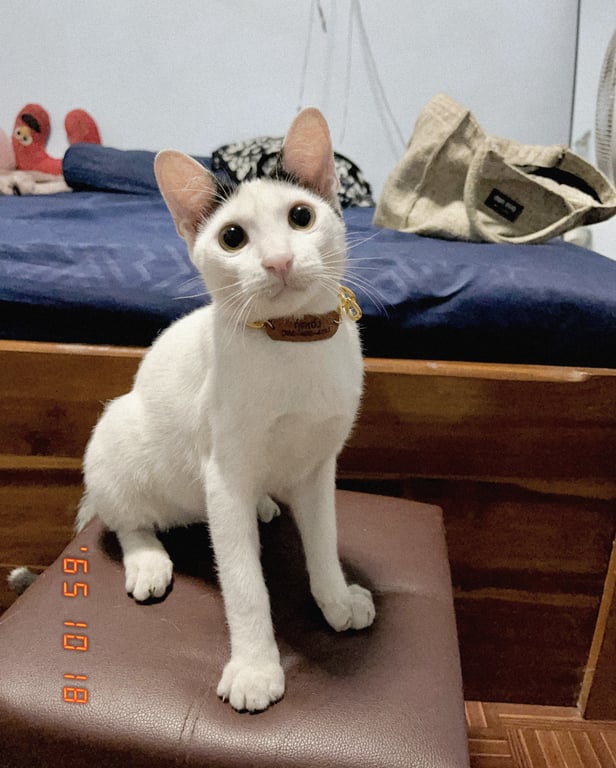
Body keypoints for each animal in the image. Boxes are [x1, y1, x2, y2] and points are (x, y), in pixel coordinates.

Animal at [75, 107, 375, 713]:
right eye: (232, 237)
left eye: (301, 216)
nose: (279, 261)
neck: (293, 343)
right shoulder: (225, 474)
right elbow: (245, 584)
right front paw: (256, 668)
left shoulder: (318, 467)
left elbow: (323, 541)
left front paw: (335, 598)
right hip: (116, 438)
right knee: (124, 518)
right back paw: (147, 559)